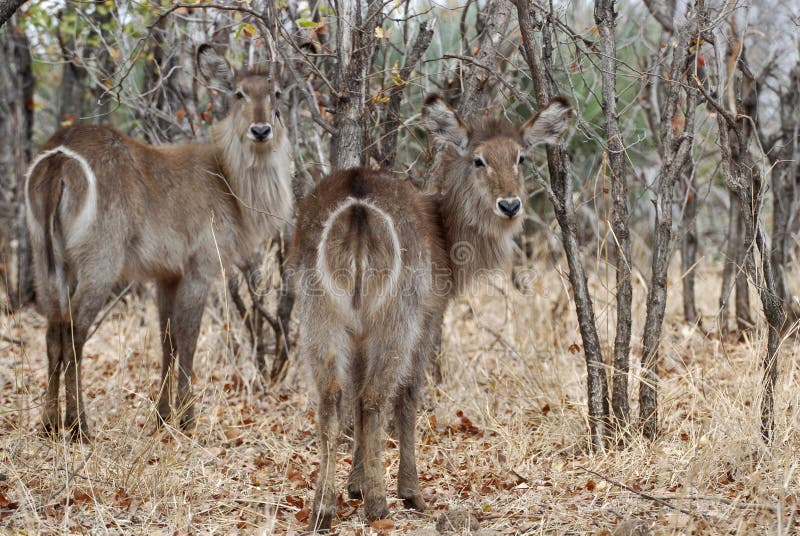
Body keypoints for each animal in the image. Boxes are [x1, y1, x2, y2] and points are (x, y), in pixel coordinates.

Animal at [25, 45, 296, 440]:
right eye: (239, 93)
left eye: (276, 93)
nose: (261, 130)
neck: (229, 181)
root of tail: (61, 154)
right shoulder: (200, 268)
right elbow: (188, 338)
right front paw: (187, 420)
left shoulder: (166, 275)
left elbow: (167, 341)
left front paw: (162, 417)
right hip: (99, 262)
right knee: (75, 332)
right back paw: (79, 427)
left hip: (46, 260)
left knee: (52, 332)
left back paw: (47, 425)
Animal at [290, 93, 572, 528]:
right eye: (478, 159)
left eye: (521, 157)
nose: (510, 204)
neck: (443, 230)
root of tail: (356, 203)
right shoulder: (429, 317)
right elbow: (407, 397)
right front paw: (407, 493)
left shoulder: (359, 333)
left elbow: (352, 395)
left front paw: (354, 485)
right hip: (396, 319)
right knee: (376, 398)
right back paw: (380, 506)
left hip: (320, 316)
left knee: (332, 400)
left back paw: (322, 509)